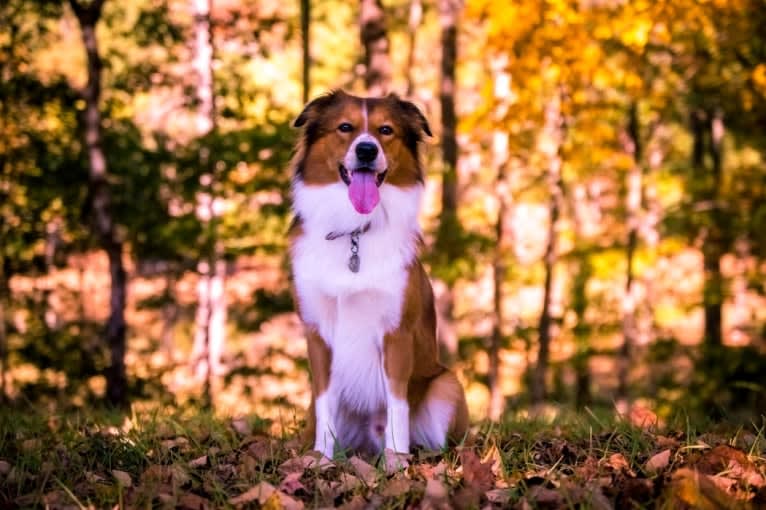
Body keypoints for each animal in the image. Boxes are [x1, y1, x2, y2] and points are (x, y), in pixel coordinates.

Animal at [288, 89, 468, 460]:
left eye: (386, 130)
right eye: (345, 127)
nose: (367, 150)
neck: (355, 232)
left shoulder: (396, 333)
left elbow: (397, 404)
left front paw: (396, 461)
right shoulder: (318, 334)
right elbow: (325, 403)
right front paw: (321, 458)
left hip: (447, 385)